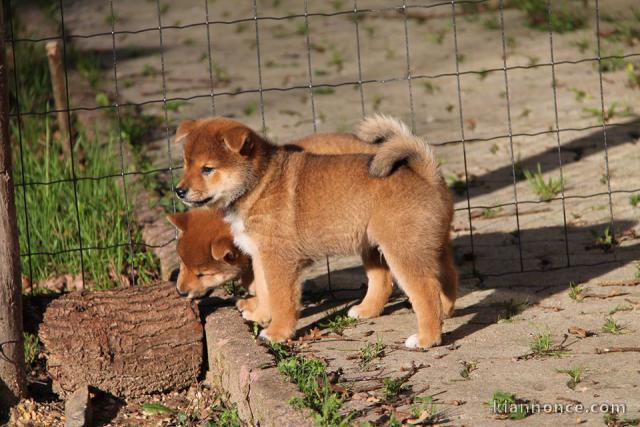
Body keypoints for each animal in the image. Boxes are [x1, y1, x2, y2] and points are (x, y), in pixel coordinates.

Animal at [175, 115, 456, 350]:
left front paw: (277, 332)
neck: (259, 184)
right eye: (186, 164)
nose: (178, 191)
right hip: (412, 245)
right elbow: (265, 291)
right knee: (444, 277)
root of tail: (426, 174)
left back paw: (427, 338)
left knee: (426, 291)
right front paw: (260, 315)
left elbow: (281, 299)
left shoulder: (279, 260)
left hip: (402, 250)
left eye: (207, 169)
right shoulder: (261, 256)